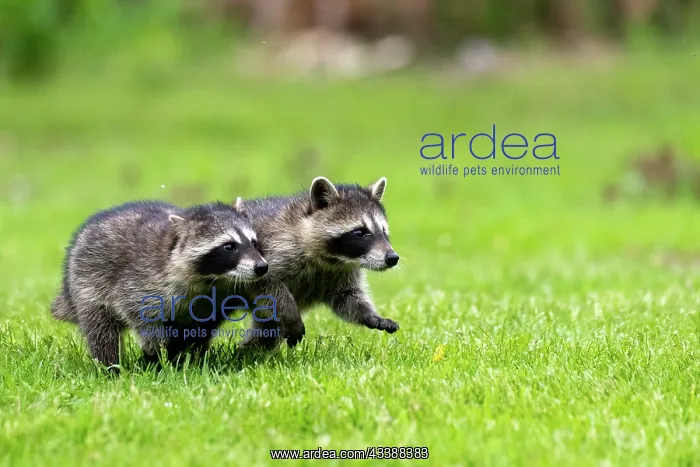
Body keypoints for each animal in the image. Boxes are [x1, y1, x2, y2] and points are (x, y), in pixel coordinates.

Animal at [51, 199, 267, 369]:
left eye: (254, 243)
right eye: (229, 247)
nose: (261, 267)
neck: (213, 279)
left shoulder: (215, 301)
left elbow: (200, 329)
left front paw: (189, 356)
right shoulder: (142, 278)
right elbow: (138, 311)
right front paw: (159, 352)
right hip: (88, 282)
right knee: (102, 331)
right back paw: (110, 366)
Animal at [233, 176, 400, 351]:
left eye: (384, 232)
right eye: (360, 233)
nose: (392, 257)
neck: (333, 260)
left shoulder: (341, 273)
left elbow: (347, 297)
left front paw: (369, 315)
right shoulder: (274, 251)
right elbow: (268, 285)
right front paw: (291, 313)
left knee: (267, 334)